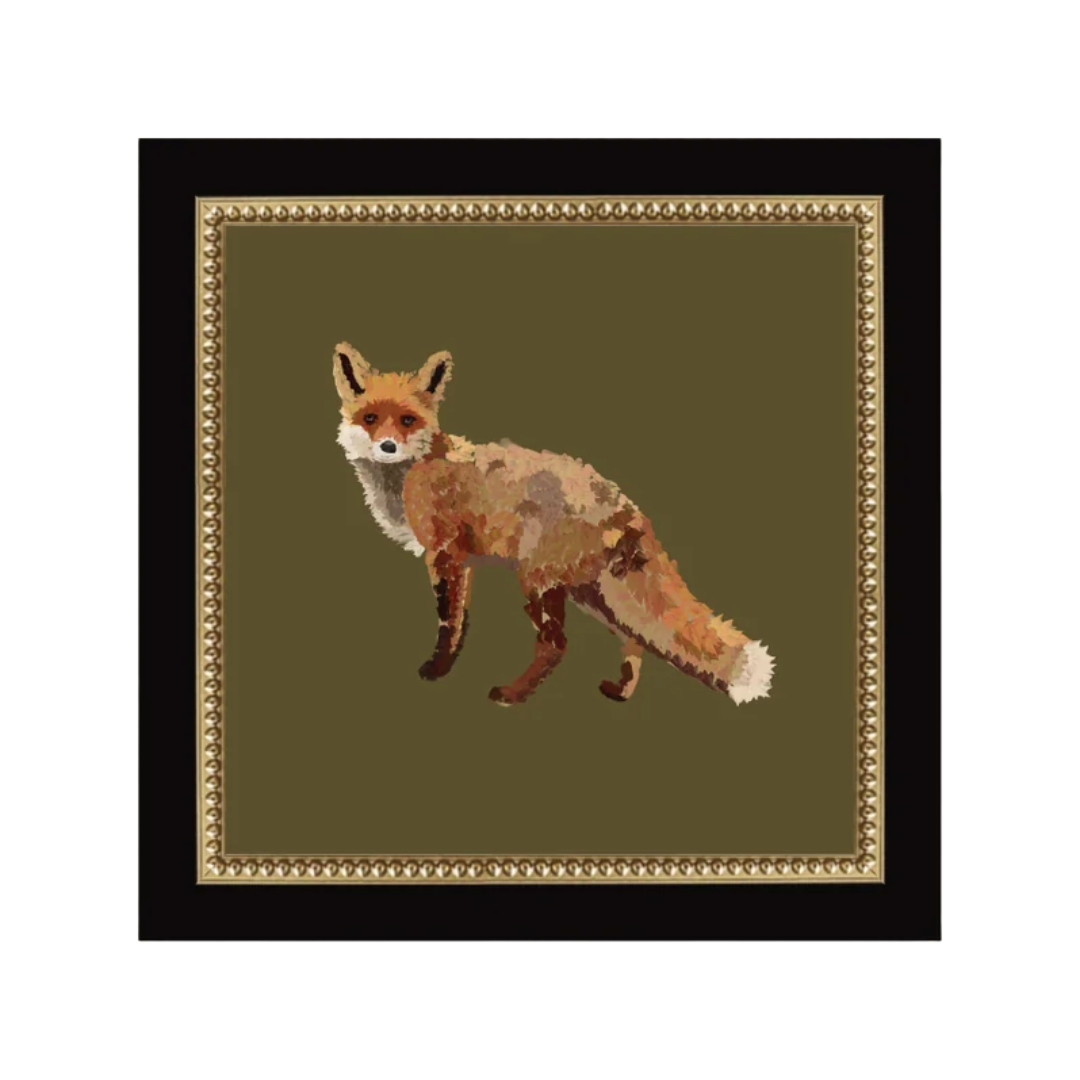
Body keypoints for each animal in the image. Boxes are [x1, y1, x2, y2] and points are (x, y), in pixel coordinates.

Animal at [333, 342, 774, 707]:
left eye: (407, 421)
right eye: (370, 418)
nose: (387, 446)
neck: (412, 471)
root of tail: (624, 504)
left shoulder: (446, 553)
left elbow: (450, 623)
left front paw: (438, 670)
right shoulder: (461, 560)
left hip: (539, 582)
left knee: (556, 645)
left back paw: (512, 696)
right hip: (589, 593)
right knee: (634, 640)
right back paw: (619, 692)